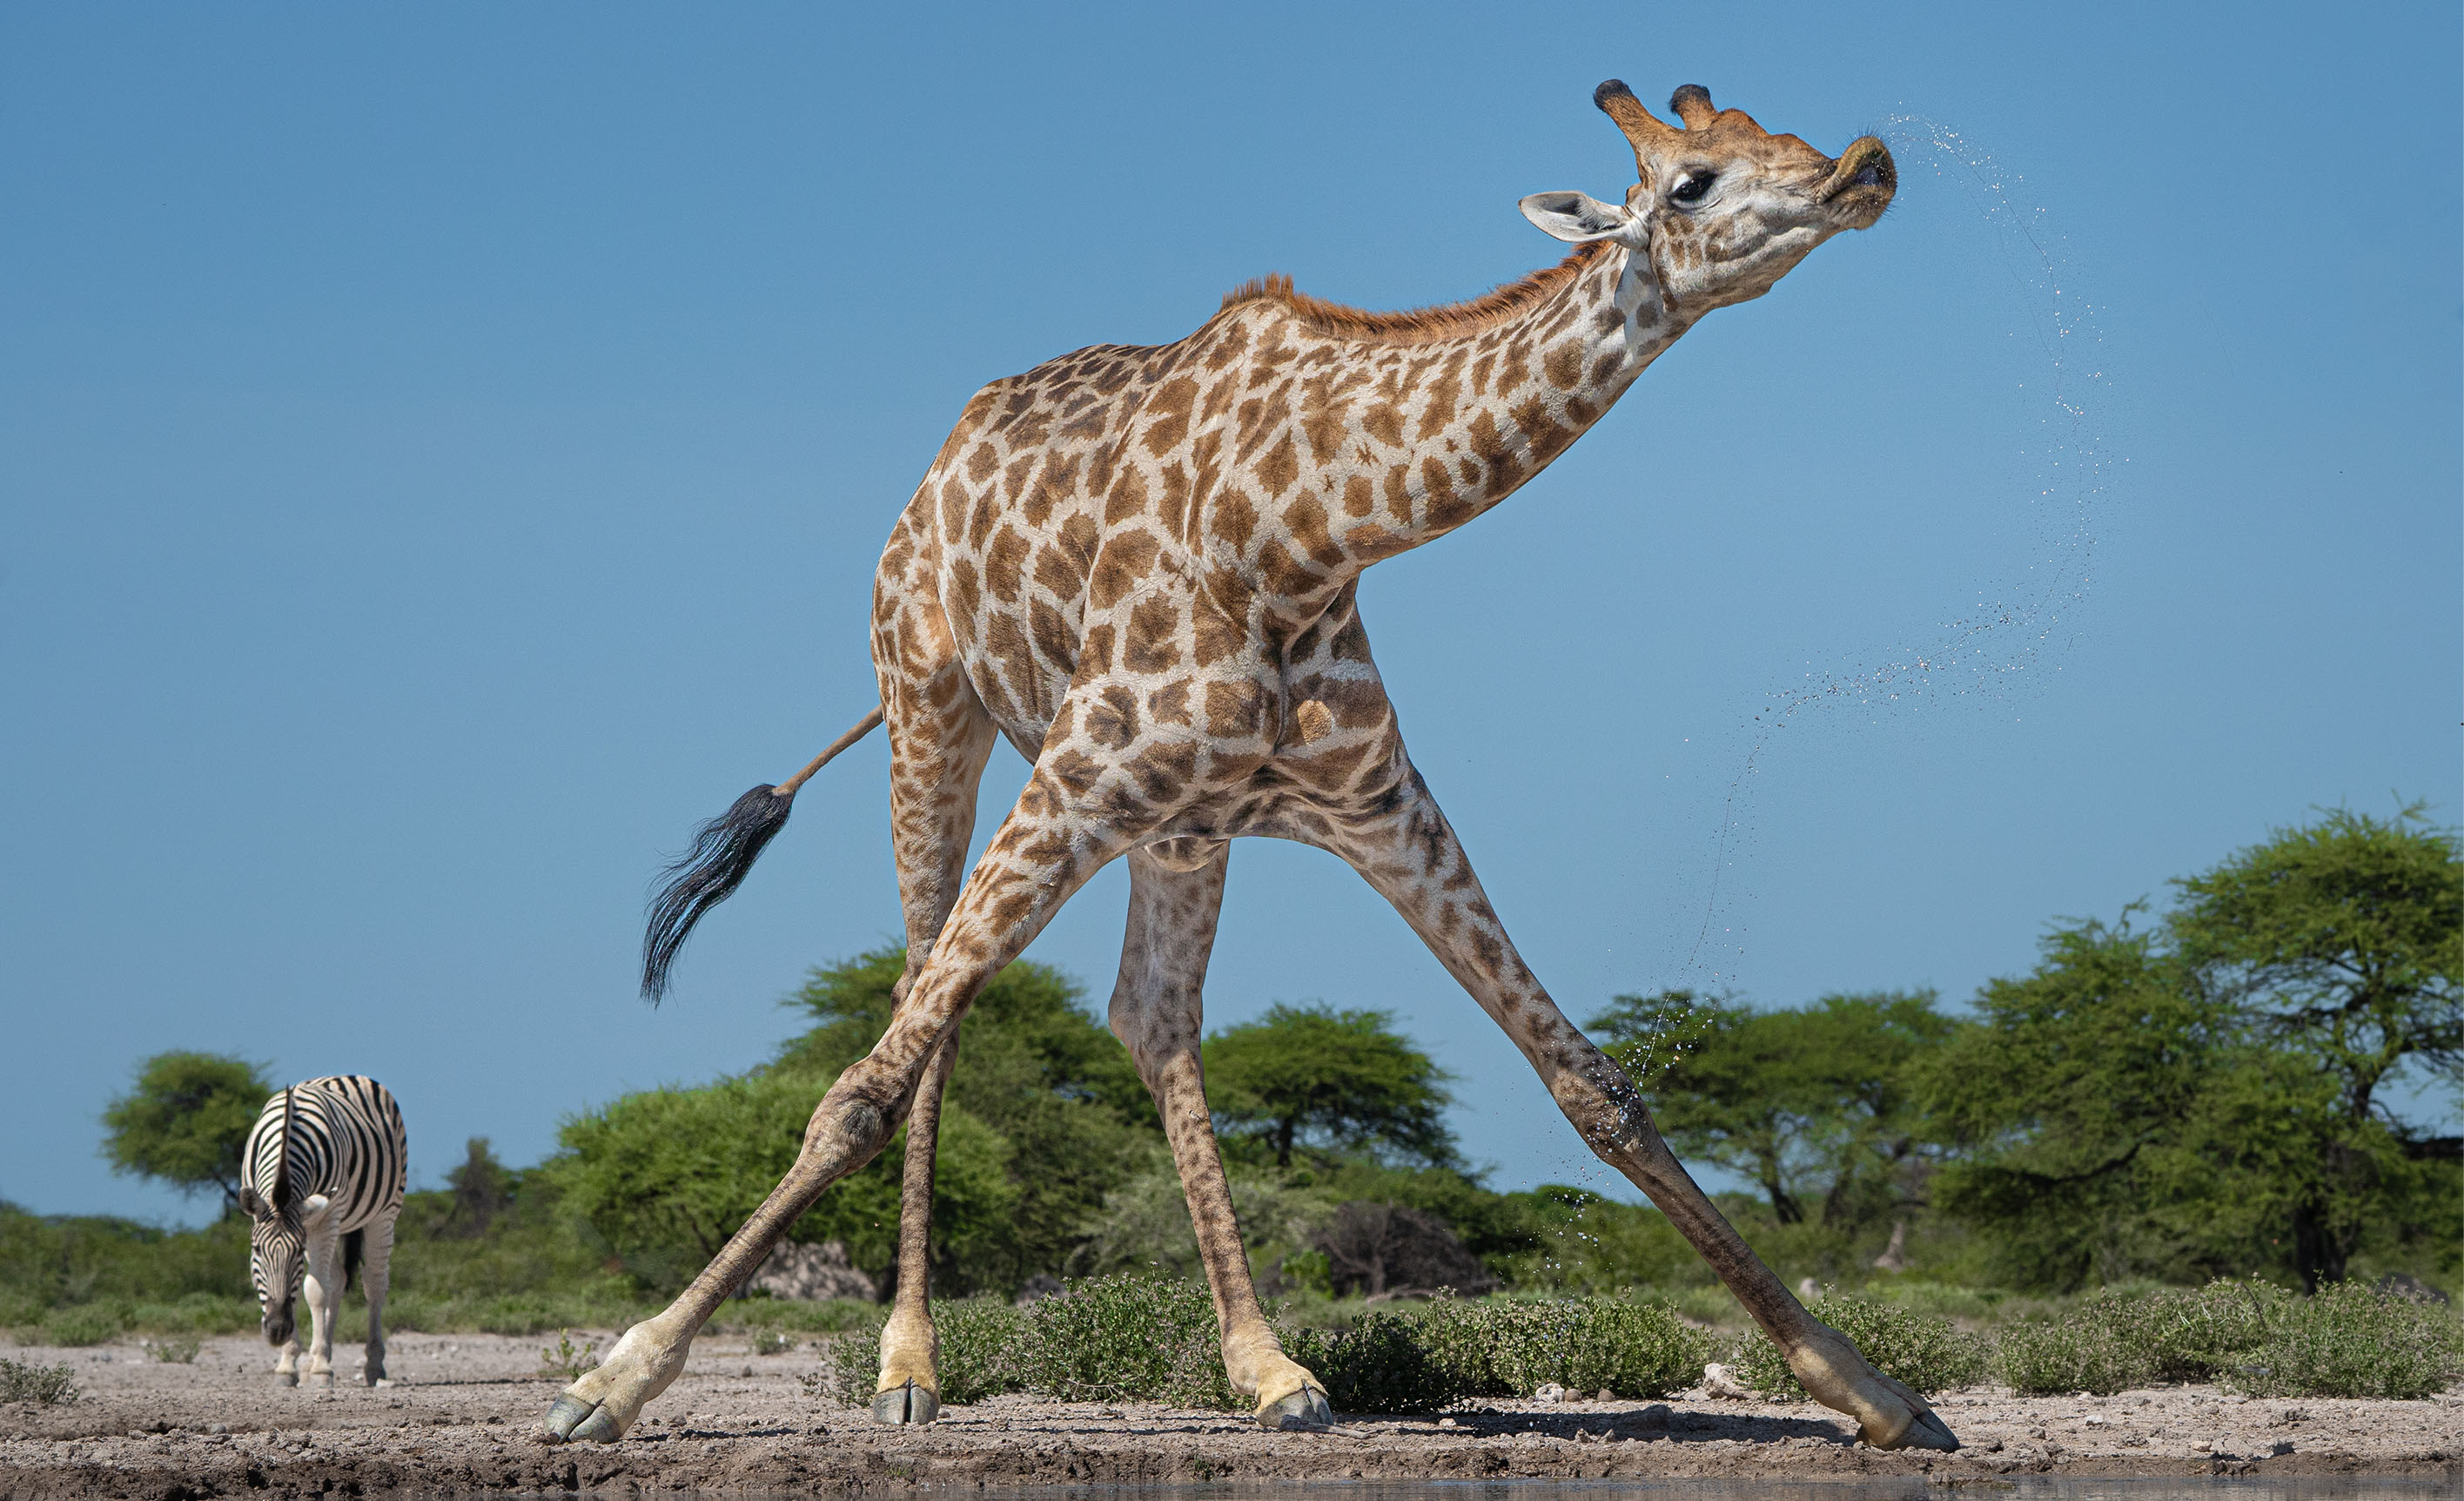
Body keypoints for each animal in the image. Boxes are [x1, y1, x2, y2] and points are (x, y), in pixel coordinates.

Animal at [544, 78, 1960, 1453]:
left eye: (1782, 133)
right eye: (1689, 183)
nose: (1863, 166)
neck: (1305, 528)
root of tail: (928, 479)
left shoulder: (1379, 807)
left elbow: (1594, 1086)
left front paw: (1873, 1391)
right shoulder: (1077, 776)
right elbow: (860, 1088)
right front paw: (612, 1379)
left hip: (1180, 826)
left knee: (1148, 1019)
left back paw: (1267, 1368)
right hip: (931, 711)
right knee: (920, 998)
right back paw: (909, 1369)